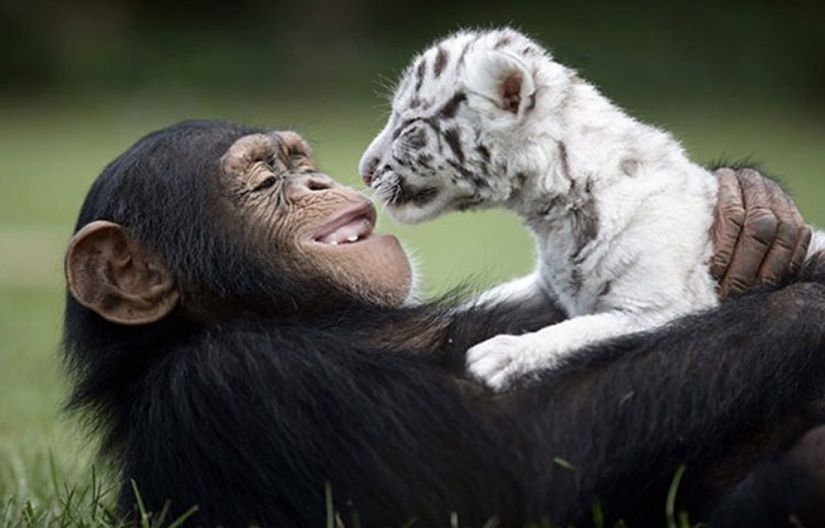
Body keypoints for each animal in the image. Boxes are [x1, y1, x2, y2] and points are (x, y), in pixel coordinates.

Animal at [62, 119, 824, 528]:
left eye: (296, 161)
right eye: (261, 181)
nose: (317, 183)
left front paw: (750, 210)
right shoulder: (237, 384)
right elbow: (523, 472)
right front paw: (809, 304)